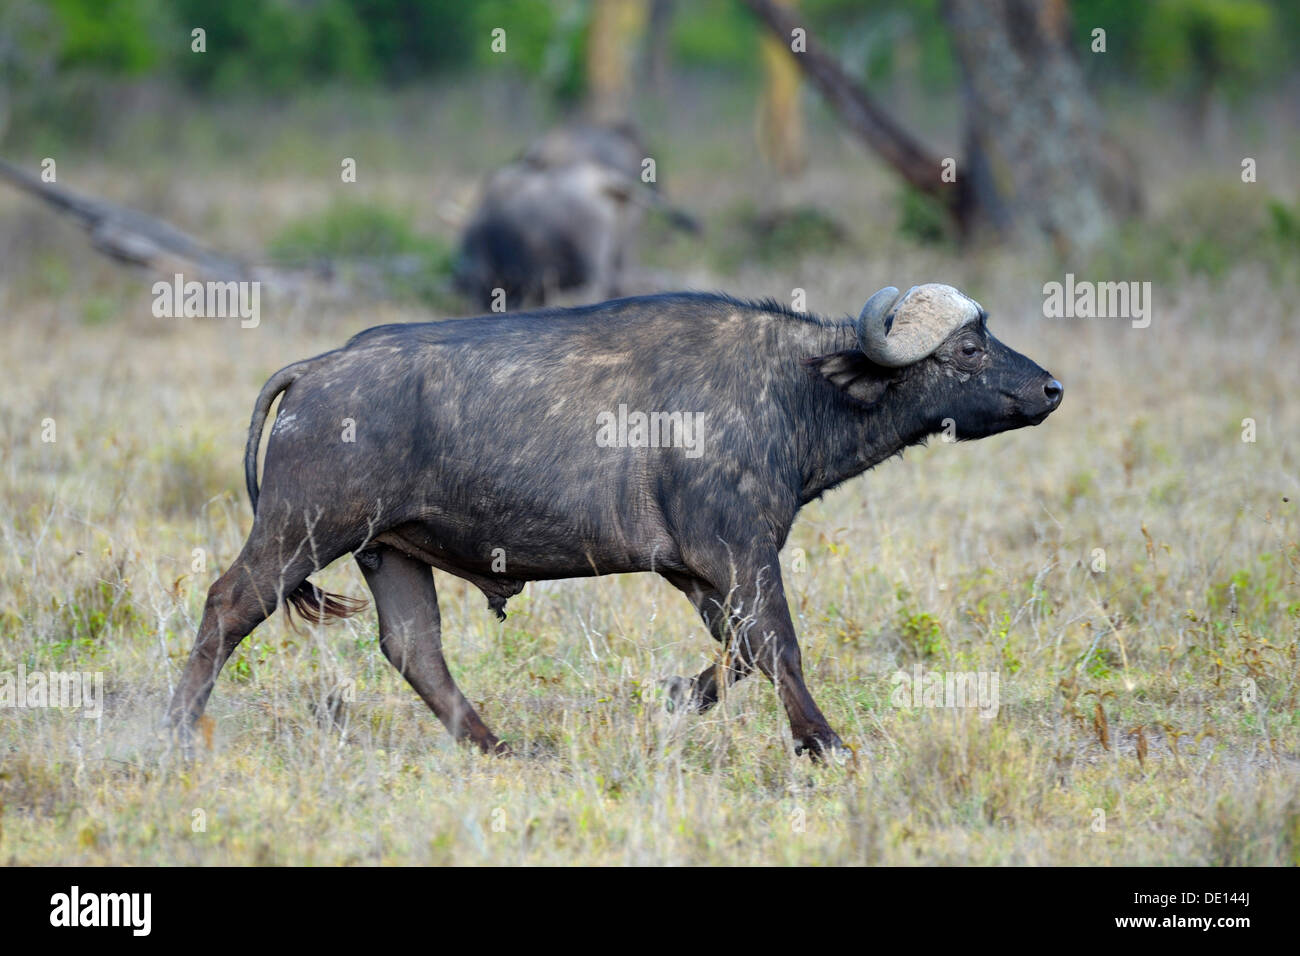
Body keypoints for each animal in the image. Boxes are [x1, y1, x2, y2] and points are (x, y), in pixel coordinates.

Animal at [165, 283, 1055, 764]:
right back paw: (174, 727)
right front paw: (824, 744)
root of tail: (317, 370)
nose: (1050, 389)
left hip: (388, 553)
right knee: (229, 604)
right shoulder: (737, 551)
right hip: (303, 529)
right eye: (968, 348)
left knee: (414, 648)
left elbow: (740, 651)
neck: (794, 387)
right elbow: (779, 644)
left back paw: (497, 747)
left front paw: (676, 699)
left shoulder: (698, 572)